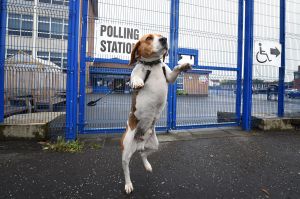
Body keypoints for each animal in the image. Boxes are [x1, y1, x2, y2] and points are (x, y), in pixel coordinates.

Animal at [120, 33, 191, 194]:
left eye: (161, 36)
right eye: (149, 38)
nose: (164, 39)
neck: (152, 65)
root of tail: (140, 141)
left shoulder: (169, 77)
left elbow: (174, 72)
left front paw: (183, 65)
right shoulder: (136, 73)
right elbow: (134, 77)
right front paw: (137, 82)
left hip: (154, 145)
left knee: (143, 154)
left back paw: (147, 165)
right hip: (126, 149)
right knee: (126, 167)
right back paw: (128, 184)